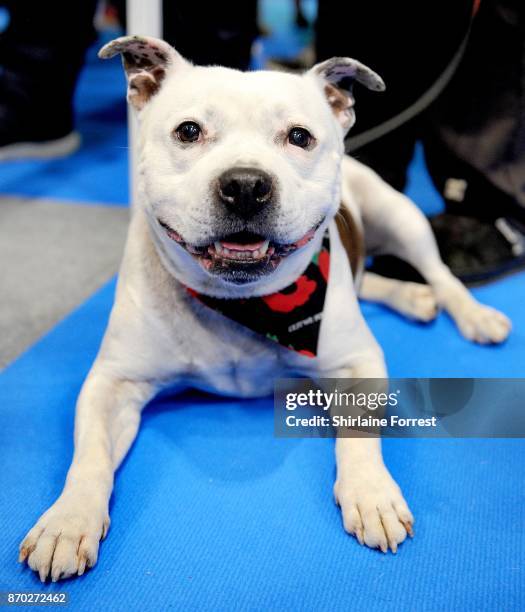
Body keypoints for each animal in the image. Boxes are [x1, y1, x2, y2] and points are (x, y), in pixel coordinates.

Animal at [18, 35, 510, 580]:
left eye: (299, 136)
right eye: (188, 131)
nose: (246, 184)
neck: (243, 301)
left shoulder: (358, 362)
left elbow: (359, 434)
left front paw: (371, 493)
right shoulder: (112, 382)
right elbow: (90, 456)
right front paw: (67, 520)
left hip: (400, 216)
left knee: (440, 273)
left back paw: (472, 313)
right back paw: (412, 296)